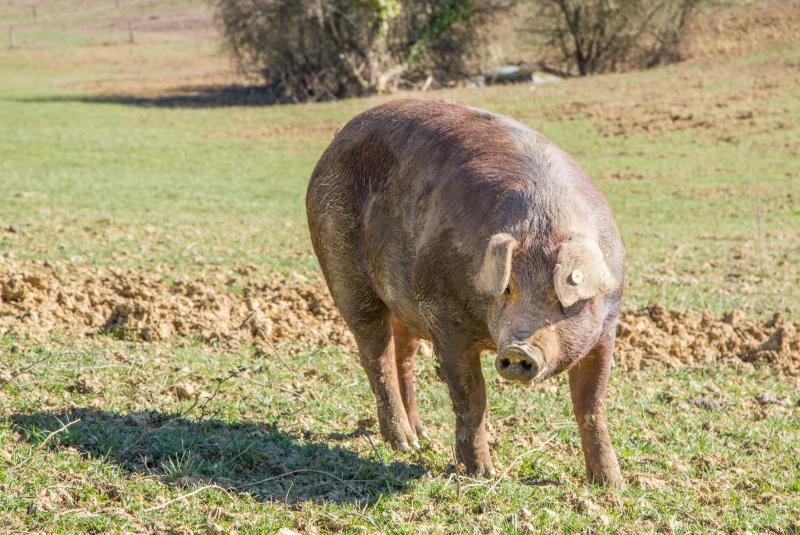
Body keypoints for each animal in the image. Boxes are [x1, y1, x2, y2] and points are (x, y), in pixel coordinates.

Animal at [306, 97, 624, 486]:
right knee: (374, 354)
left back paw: (422, 437)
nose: (518, 349)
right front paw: (482, 475)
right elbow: (471, 398)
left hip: (405, 298)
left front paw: (612, 484)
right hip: (343, 269)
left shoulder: (607, 326)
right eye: (507, 289)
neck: (543, 221)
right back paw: (404, 444)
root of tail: (335, 142)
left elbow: (591, 404)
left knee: (403, 356)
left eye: (558, 296)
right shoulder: (443, 315)